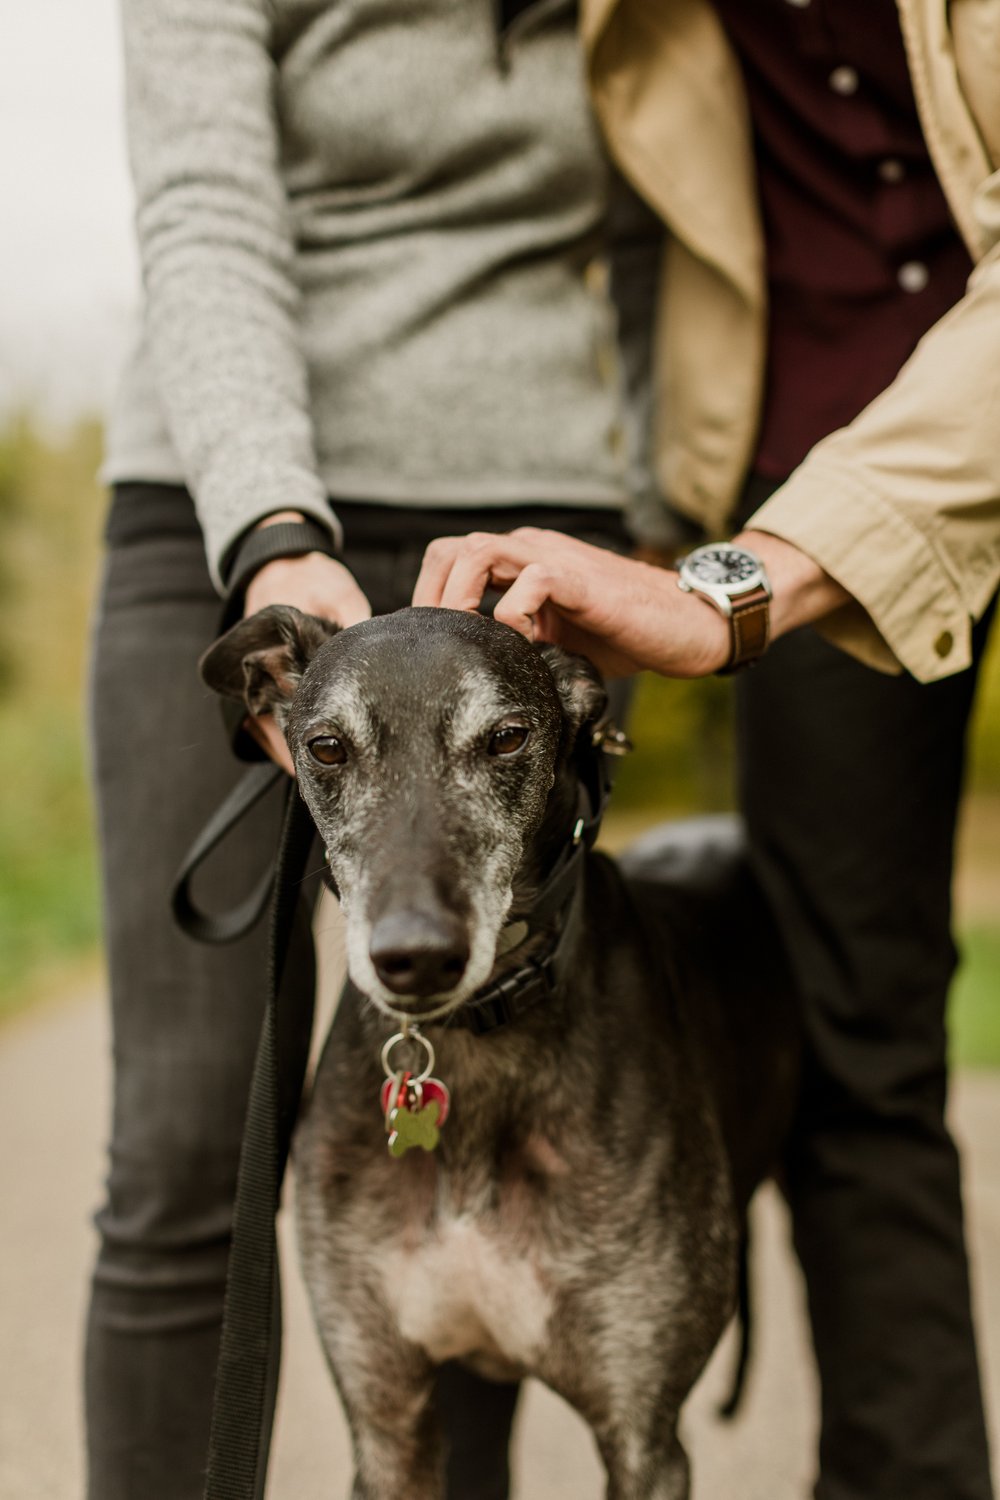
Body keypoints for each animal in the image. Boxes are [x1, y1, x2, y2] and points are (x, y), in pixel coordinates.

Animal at [203, 603, 797, 1500]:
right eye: (328, 746)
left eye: (509, 738)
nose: (416, 957)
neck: (474, 1046)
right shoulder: (387, 1423)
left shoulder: (643, 1437)